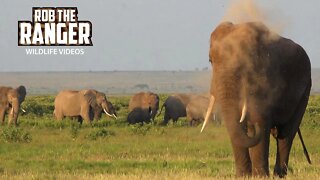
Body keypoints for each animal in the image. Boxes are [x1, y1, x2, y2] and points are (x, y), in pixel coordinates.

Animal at [201, 21, 312, 177]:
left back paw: (279, 175)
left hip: (305, 90)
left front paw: (260, 176)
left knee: (286, 134)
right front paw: (243, 176)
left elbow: (260, 119)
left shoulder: (265, 79)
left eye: (244, 64)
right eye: (210, 60)